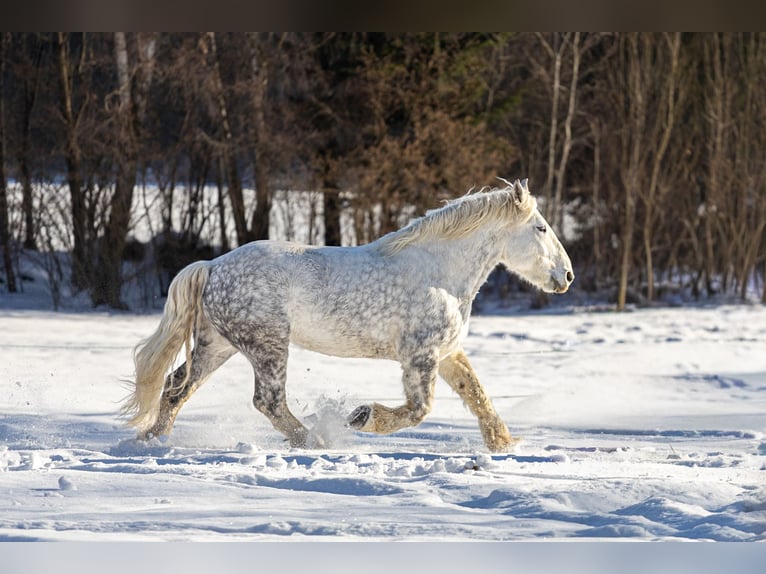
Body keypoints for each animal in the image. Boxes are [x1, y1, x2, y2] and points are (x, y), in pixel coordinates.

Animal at [122, 178, 574, 452]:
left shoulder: (446, 354)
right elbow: (419, 410)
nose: (566, 275)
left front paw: (504, 445)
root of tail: (212, 265)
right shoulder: (420, 356)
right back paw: (318, 442)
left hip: (218, 344)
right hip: (267, 346)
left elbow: (478, 396)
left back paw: (152, 440)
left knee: (176, 387)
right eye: (540, 228)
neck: (440, 274)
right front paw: (362, 417)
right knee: (268, 401)